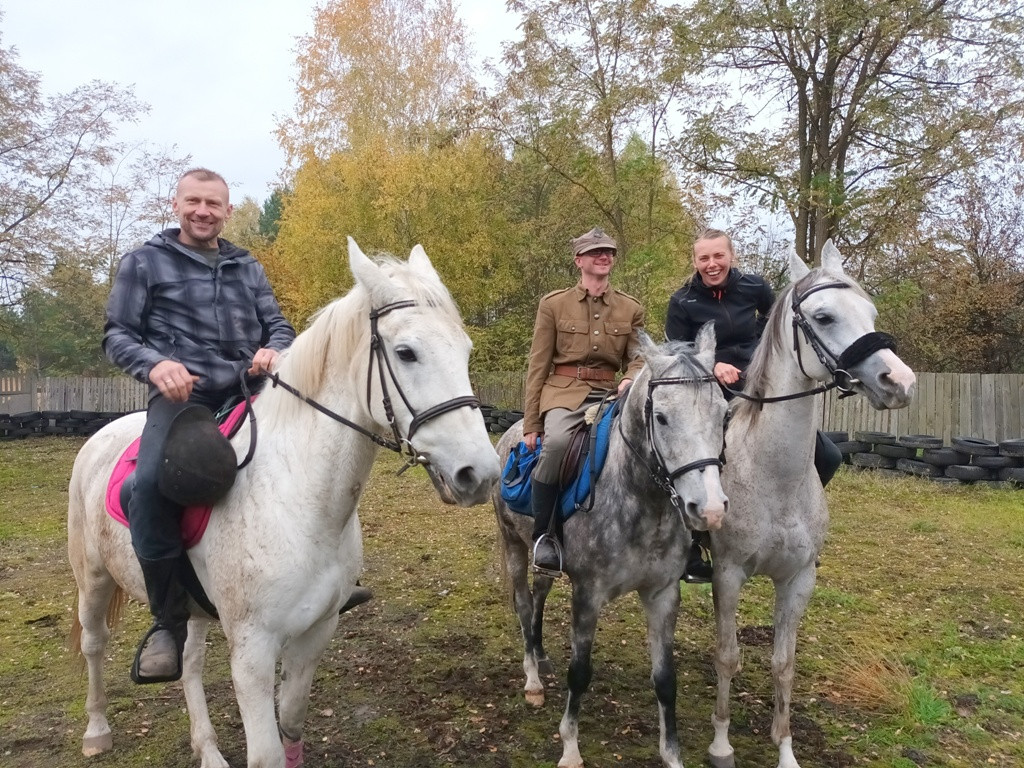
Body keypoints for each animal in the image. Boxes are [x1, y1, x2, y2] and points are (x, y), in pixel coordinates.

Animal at [67, 240, 499, 768]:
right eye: (406, 352)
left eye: (465, 351)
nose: (480, 474)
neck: (300, 500)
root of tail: (102, 435)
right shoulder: (252, 653)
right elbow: (267, 752)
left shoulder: (315, 633)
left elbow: (291, 722)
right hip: (93, 578)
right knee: (94, 644)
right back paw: (96, 730)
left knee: (190, 664)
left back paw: (207, 749)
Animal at [495, 329, 729, 768]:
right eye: (661, 417)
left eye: (724, 415)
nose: (708, 509)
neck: (641, 501)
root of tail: (515, 431)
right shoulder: (588, 594)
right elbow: (580, 673)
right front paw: (570, 747)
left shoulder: (662, 595)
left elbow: (665, 679)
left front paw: (672, 754)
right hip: (513, 545)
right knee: (522, 603)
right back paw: (532, 678)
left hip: (543, 556)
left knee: (539, 594)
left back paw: (541, 654)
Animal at [708, 241, 917, 768]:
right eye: (823, 317)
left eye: (870, 312)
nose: (900, 382)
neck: (773, 477)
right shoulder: (728, 574)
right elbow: (727, 655)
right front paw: (721, 744)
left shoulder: (799, 579)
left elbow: (784, 664)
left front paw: (785, 748)